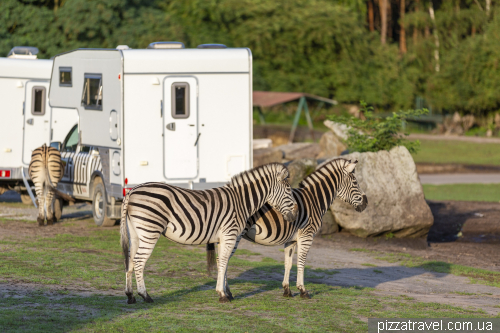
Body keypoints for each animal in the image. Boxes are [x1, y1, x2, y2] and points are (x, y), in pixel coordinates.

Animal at [120, 163, 296, 304]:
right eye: (288, 191)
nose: (294, 216)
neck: (241, 202)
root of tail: (132, 191)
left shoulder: (223, 238)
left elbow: (222, 262)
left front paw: (225, 292)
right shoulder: (230, 234)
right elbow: (223, 261)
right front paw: (222, 294)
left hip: (136, 233)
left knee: (130, 259)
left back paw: (130, 296)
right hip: (150, 231)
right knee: (139, 261)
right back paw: (145, 295)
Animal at [207, 158, 368, 298]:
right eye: (355, 182)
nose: (366, 203)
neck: (314, 200)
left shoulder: (291, 240)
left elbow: (288, 263)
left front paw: (287, 290)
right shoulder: (306, 236)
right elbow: (301, 262)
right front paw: (302, 290)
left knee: (222, 259)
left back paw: (227, 292)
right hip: (235, 234)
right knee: (223, 260)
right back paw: (226, 292)